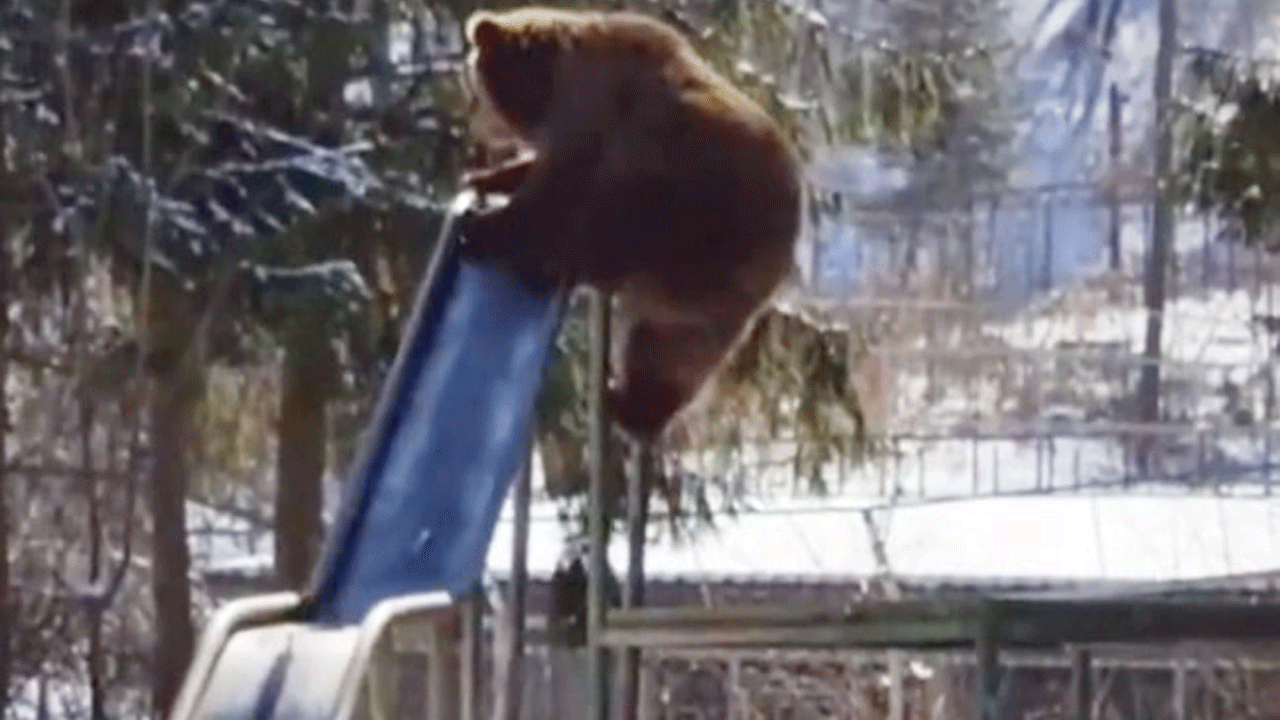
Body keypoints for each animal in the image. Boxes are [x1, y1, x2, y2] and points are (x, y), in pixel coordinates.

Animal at [458, 6, 803, 442]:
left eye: (475, 86)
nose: (474, 127)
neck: (553, 80)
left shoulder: (597, 114)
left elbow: (556, 187)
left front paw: (485, 225)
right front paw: (484, 178)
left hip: (692, 227)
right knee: (660, 348)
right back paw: (634, 408)